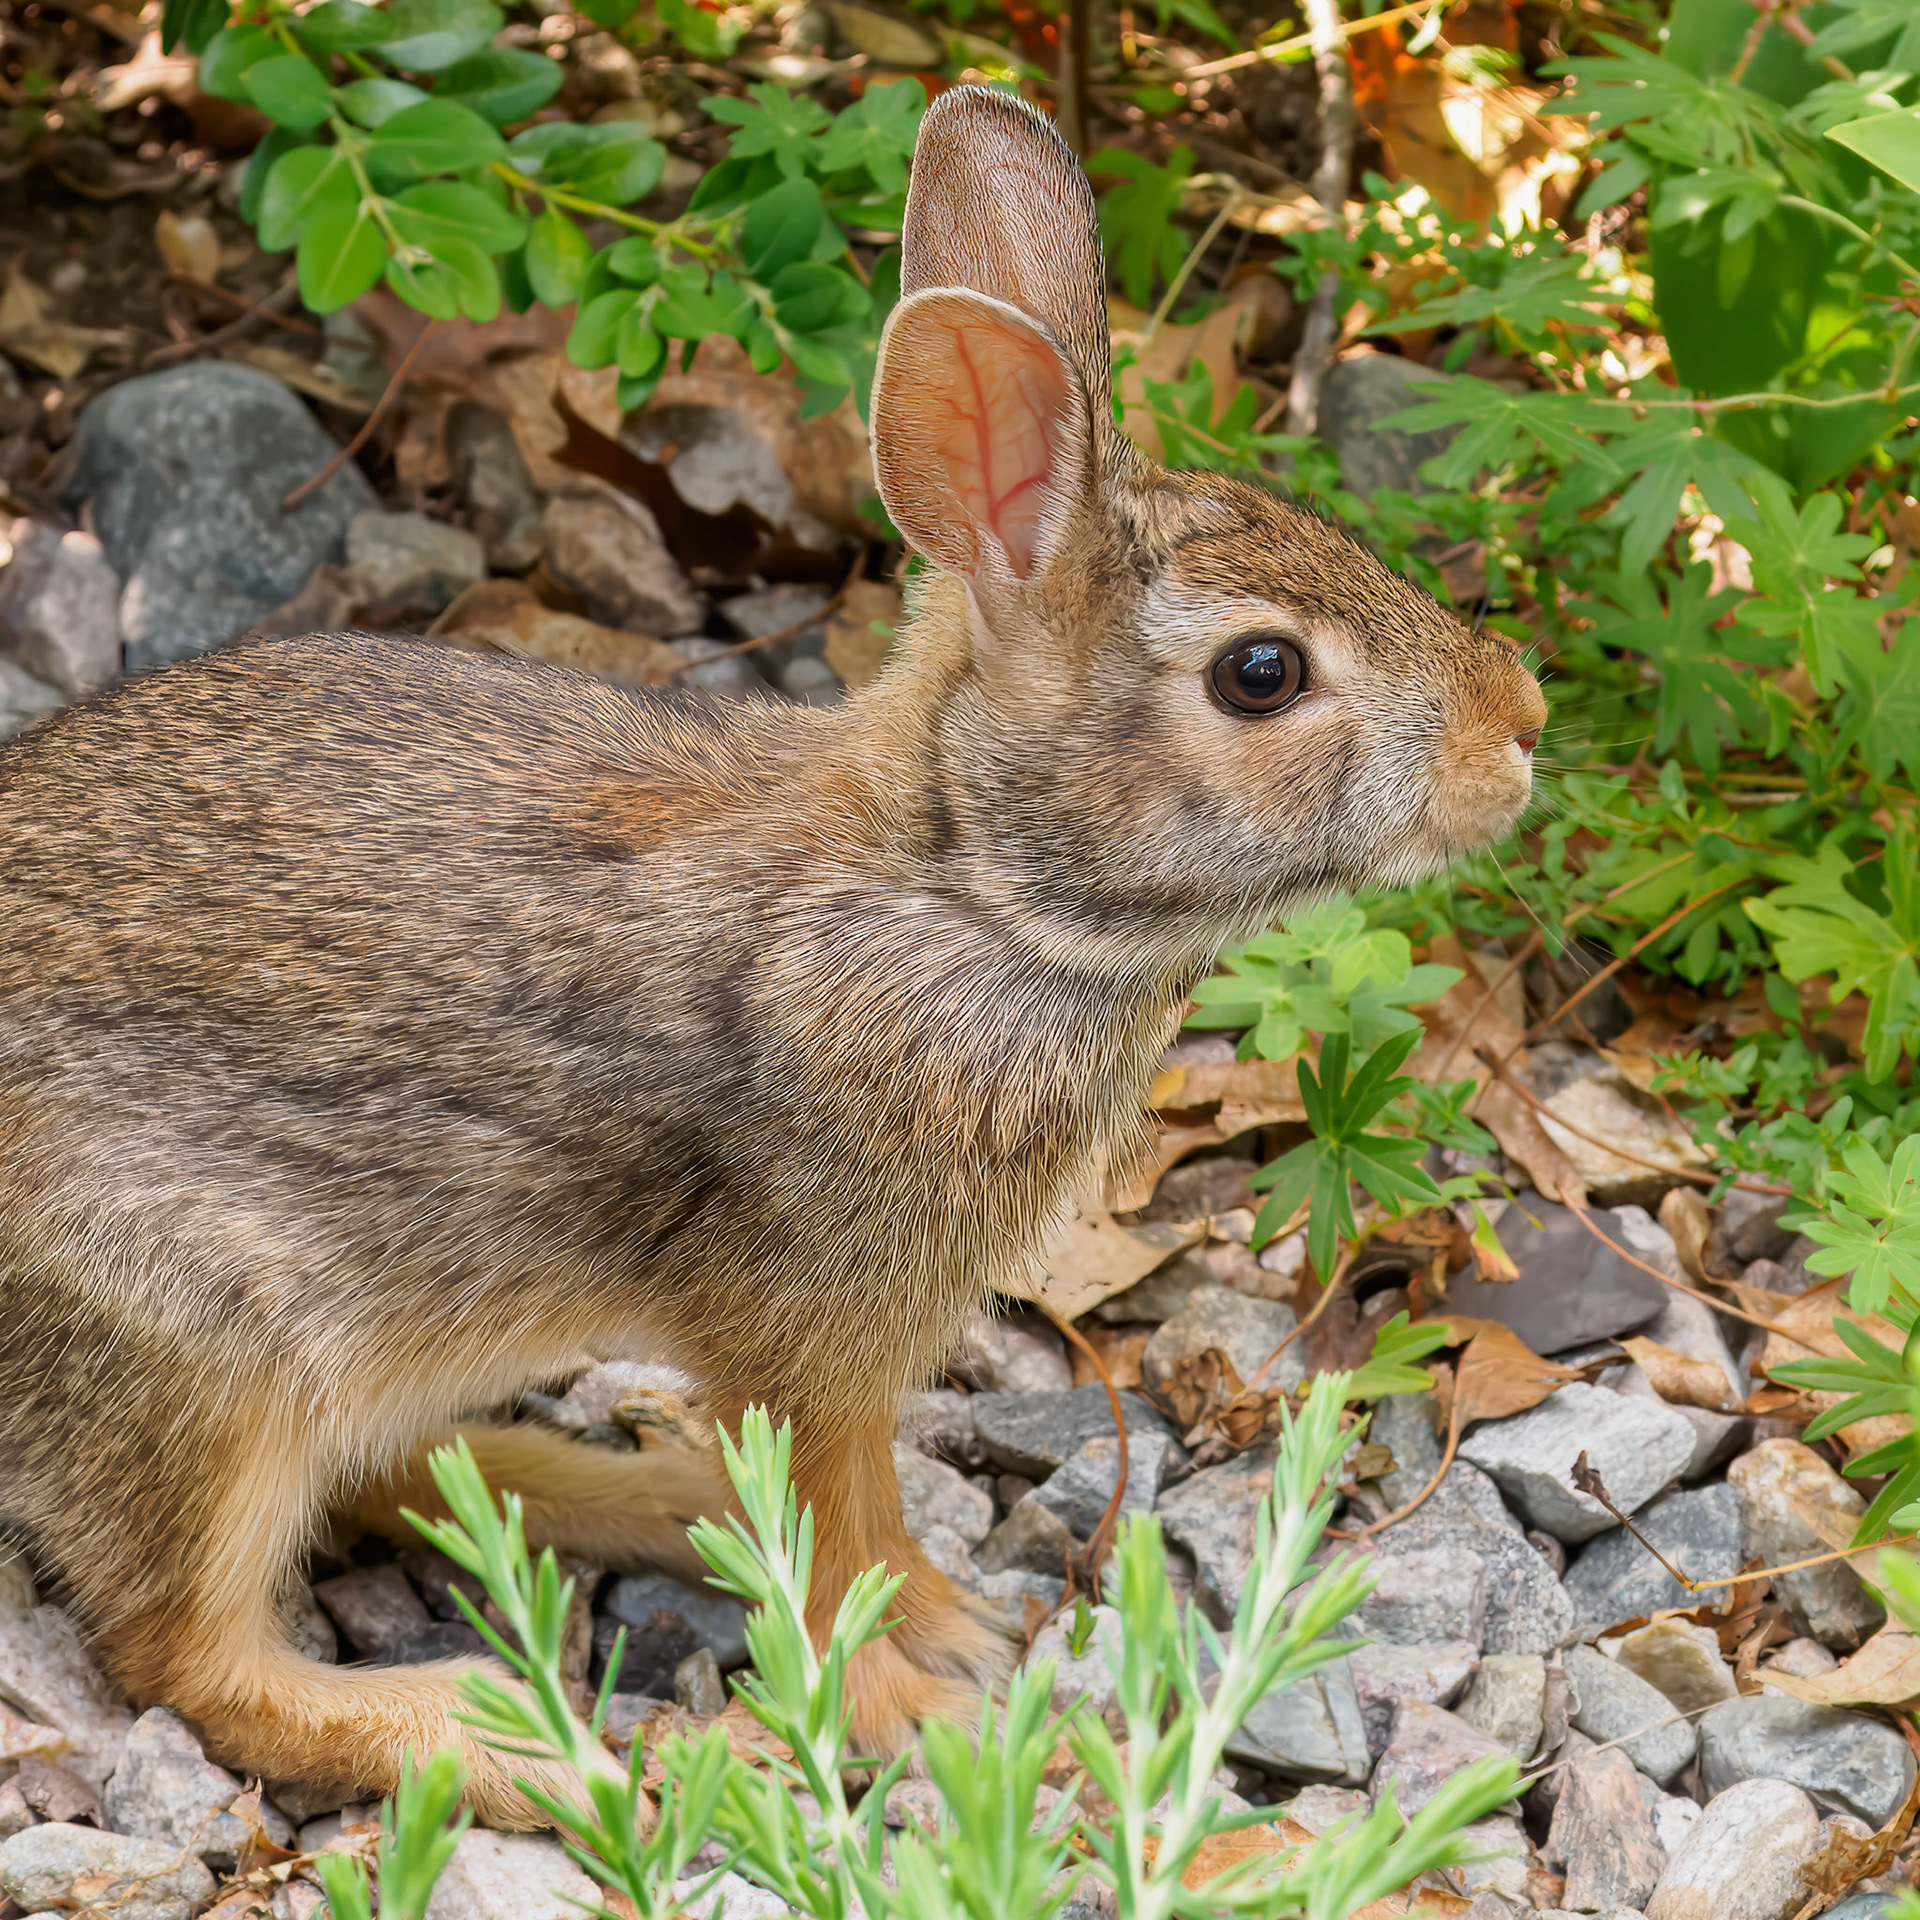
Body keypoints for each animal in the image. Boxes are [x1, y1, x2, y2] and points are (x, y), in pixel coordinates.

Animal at [0, 85, 1545, 1825]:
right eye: (1262, 675)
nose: (1522, 729)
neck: (959, 882)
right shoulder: (795, 1326)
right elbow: (824, 1533)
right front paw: (911, 1712)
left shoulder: (853, 1347)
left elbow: (867, 1517)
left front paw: (954, 1630)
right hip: (201, 1344)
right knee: (191, 1658)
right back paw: (523, 1740)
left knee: (399, 1479)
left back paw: (647, 1504)